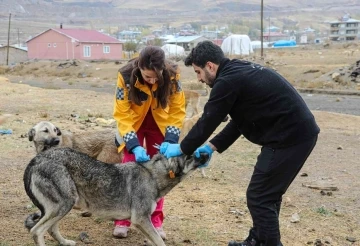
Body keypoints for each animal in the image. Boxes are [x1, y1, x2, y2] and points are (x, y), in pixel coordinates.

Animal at [23, 148, 208, 246]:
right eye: (191, 155)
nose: (207, 152)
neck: (153, 176)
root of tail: (36, 159)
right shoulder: (141, 219)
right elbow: (160, 242)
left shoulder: (144, 222)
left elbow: (155, 240)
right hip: (65, 204)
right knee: (36, 231)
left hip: (63, 207)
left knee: (51, 229)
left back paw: (65, 242)